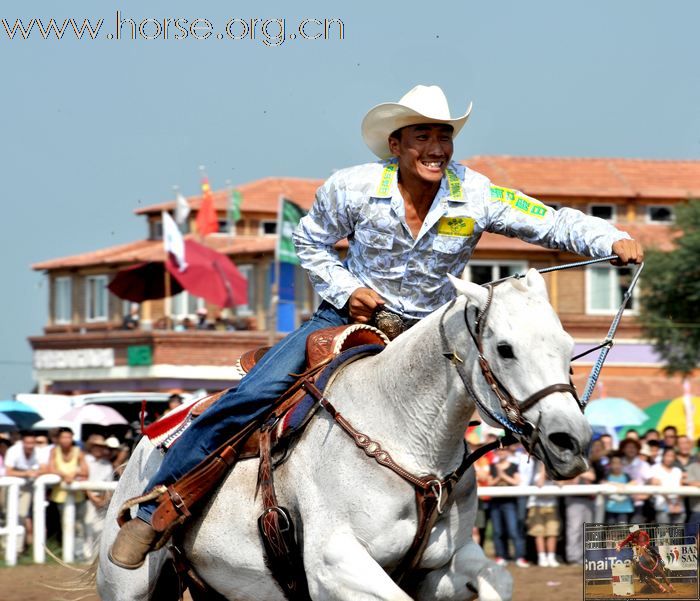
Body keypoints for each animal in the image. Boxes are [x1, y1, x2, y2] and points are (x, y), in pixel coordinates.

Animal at [97, 270, 592, 600]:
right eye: (505, 349)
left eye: (568, 346)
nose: (571, 441)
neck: (402, 434)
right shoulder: (334, 565)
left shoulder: (438, 566)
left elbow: (497, 578)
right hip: (129, 587)